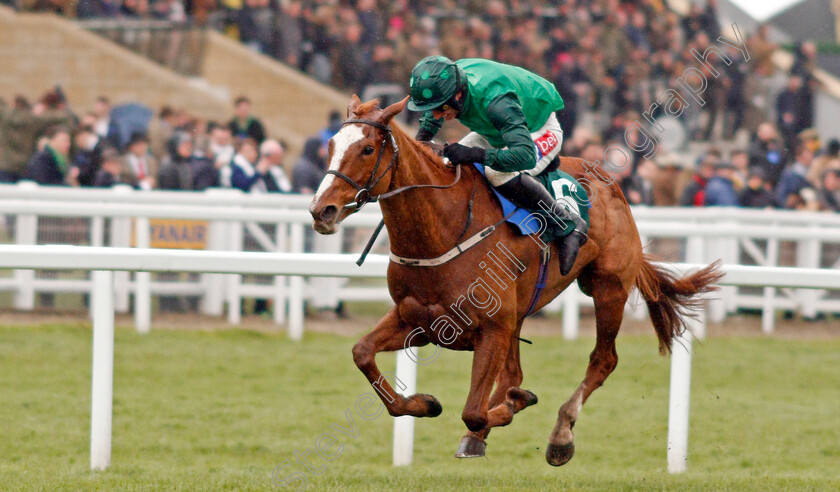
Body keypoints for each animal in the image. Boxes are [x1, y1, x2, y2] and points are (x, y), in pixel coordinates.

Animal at [310, 96, 720, 466]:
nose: (321, 210)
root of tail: (612, 184)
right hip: (520, 311)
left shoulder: (491, 326)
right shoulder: (417, 319)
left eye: (367, 149)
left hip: (607, 288)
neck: (444, 228)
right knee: (514, 371)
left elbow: (474, 409)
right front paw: (426, 403)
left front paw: (509, 407)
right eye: (330, 146)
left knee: (603, 360)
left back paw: (560, 435)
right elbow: (363, 354)